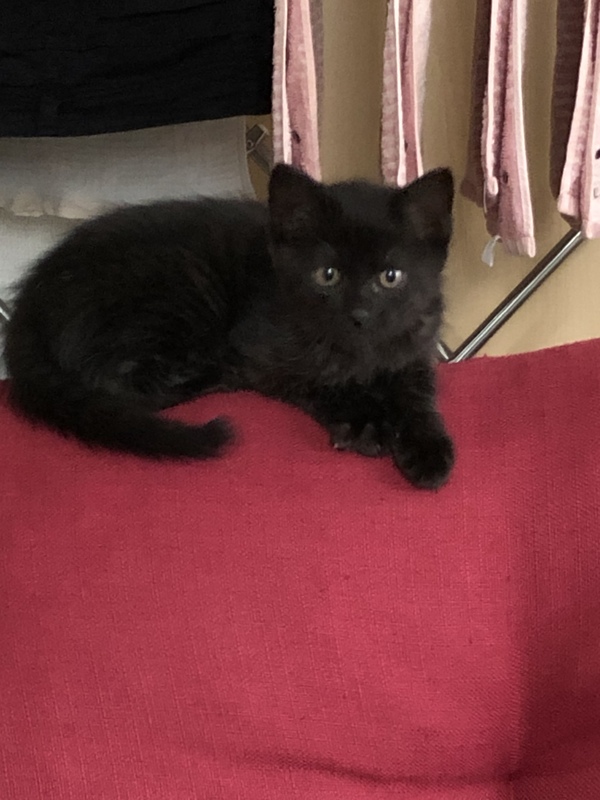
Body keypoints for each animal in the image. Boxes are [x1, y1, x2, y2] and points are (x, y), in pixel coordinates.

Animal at [4, 163, 455, 489]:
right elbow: (315, 382)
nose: (359, 314)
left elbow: (418, 395)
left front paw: (427, 448)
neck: (360, 357)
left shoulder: (416, 345)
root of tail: (30, 301)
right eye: (327, 275)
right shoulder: (261, 351)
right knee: (115, 382)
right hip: (180, 295)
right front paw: (364, 418)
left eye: (391, 277)